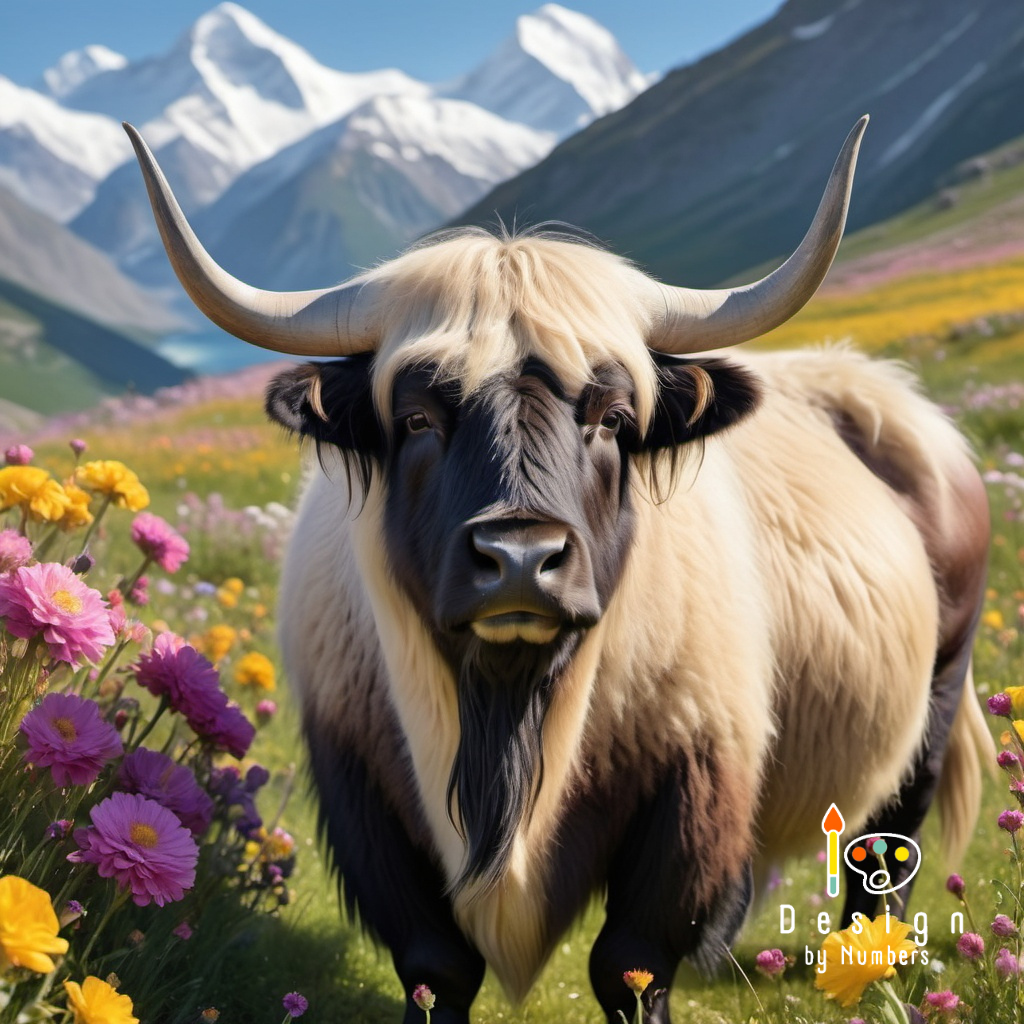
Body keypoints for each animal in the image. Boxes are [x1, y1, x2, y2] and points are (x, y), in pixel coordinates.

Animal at [127, 116, 991, 1024]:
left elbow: (632, 962)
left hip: (934, 692)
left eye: (611, 416)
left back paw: (868, 965)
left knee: (888, 843)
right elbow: (436, 963)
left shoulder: (695, 771)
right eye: (417, 417)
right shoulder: (362, 787)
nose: (519, 561)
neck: (507, 714)